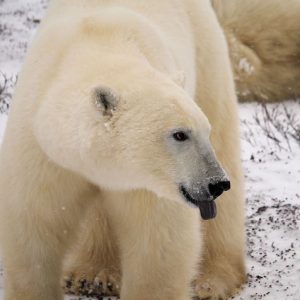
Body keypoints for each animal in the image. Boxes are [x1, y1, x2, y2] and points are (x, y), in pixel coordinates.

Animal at [0, 0, 246, 300]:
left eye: (200, 131)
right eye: (179, 134)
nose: (216, 183)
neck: (98, 47)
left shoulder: (148, 182)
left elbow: (157, 243)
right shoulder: (42, 149)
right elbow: (33, 231)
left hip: (207, 56)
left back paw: (211, 280)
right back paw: (91, 274)